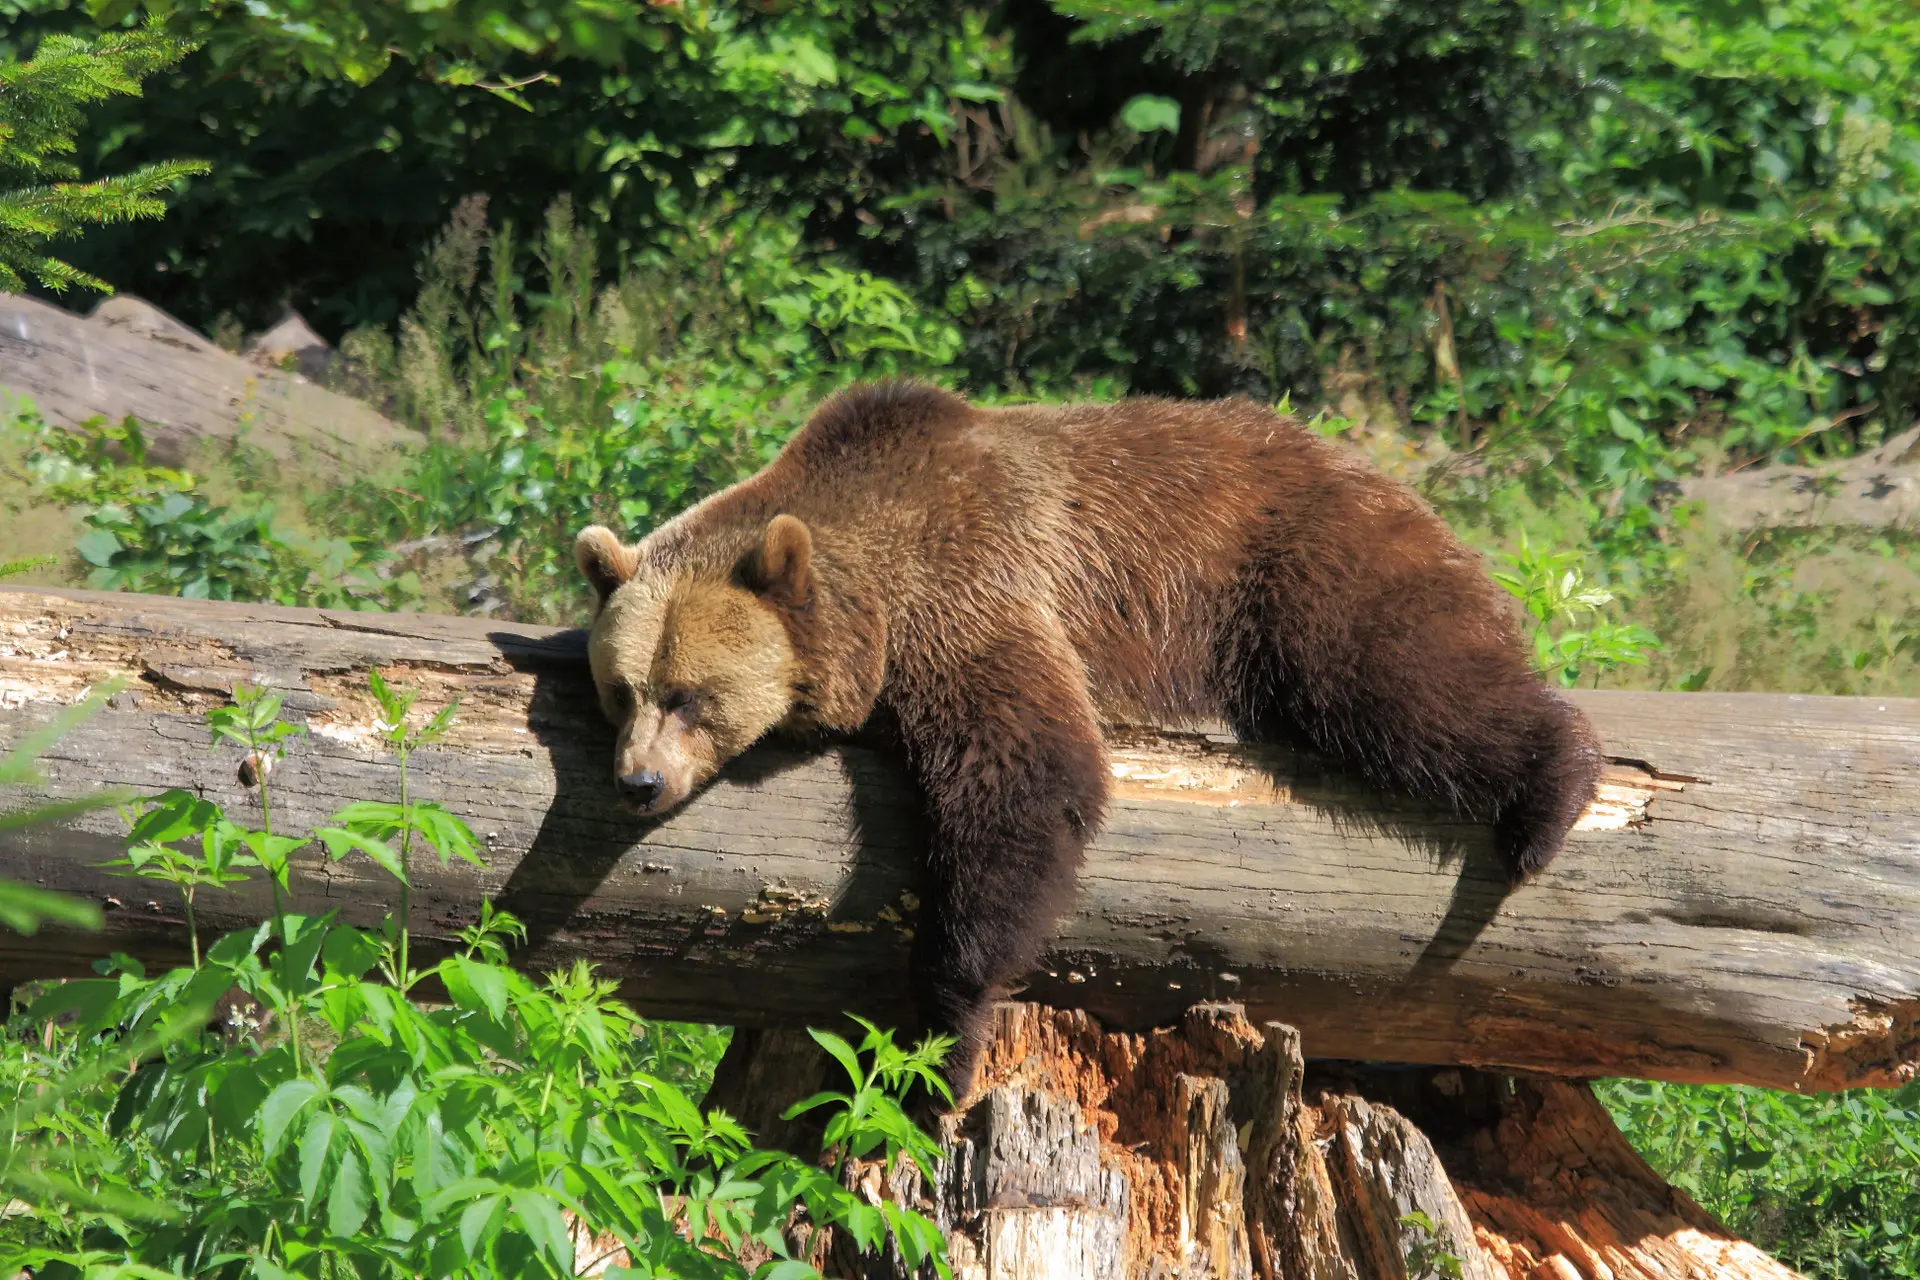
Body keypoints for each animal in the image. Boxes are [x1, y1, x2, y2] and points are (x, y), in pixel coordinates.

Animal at [574, 381, 1603, 1100]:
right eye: (622, 690)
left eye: (691, 697)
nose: (638, 783)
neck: (874, 600)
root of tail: (1379, 467)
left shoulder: (975, 585)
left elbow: (1028, 781)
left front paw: (942, 1041)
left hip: (1296, 559)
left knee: (1397, 676)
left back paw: (1550, 794)